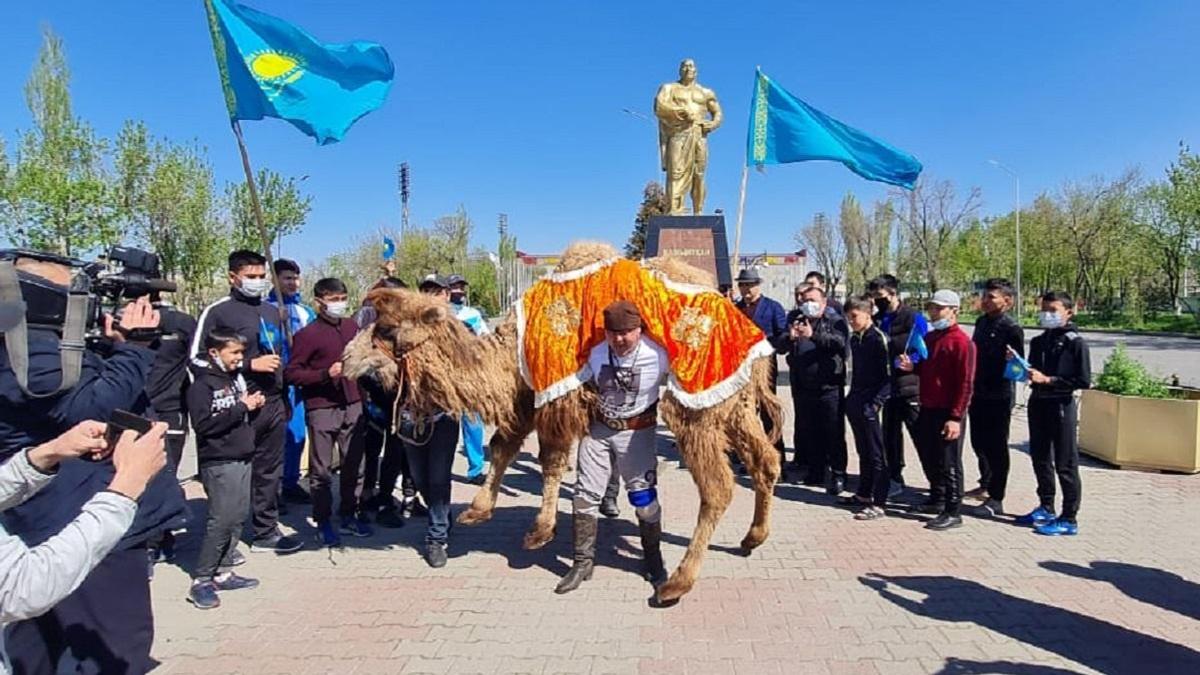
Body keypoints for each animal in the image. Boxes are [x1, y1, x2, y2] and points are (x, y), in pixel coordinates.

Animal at [343, 242, 782, 605]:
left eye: (386, 328)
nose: (346, 360)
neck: (509, 352)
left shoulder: (554, 399)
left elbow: (550, 461)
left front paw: (540, 531)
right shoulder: (526, 398)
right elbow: (503, 447)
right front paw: (478, 511)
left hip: (696, 407)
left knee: (718, 487)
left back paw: (677, 582)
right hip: (737, 405)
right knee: (766, 461)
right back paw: (753, 537)